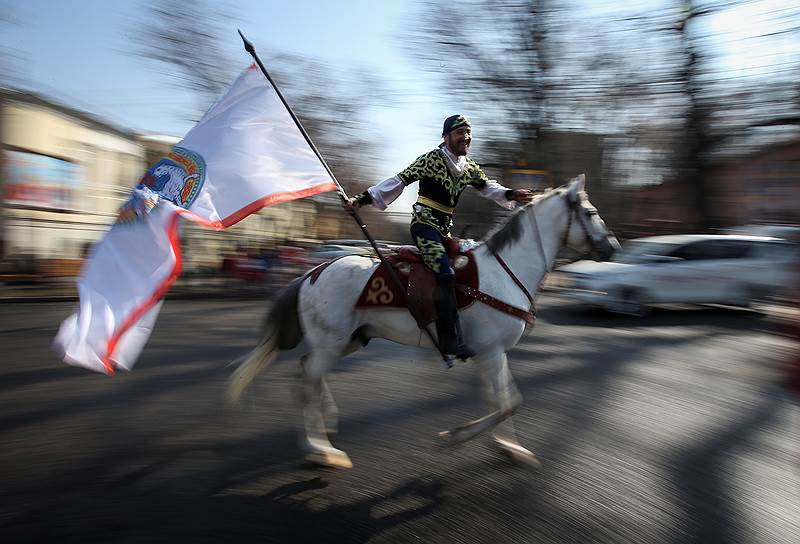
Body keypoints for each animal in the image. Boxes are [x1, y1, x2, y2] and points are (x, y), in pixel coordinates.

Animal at [228, 174, 616, 468]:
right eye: (592, 212)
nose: (612, 247)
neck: (505, 271)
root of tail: (313, 272)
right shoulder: (491, 352)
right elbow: (506, 403)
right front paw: (452, 438)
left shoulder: (493, 354)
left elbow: (503, 400)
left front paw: (510, 447)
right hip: (331, 343)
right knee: (308, 380)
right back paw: (321, 450)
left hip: (348, 340)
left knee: (306, 373)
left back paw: (327, 422)